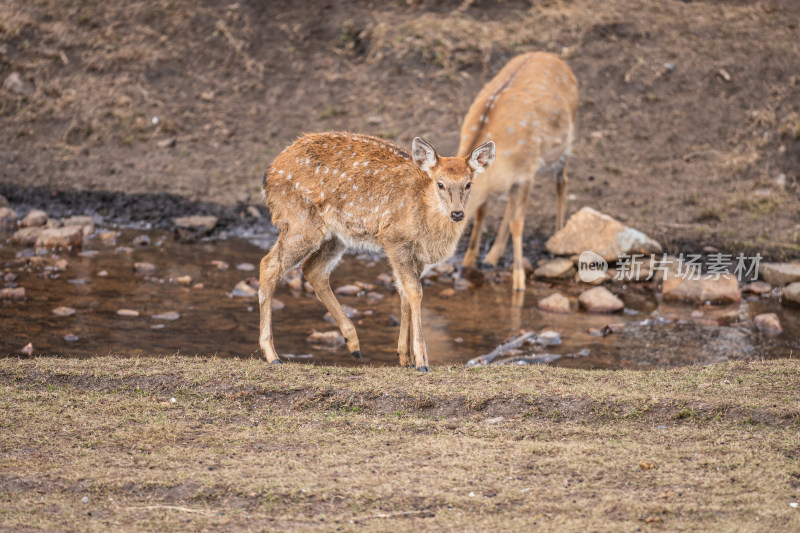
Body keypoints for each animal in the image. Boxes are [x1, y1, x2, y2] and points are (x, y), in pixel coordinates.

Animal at [260, 132, 494, 370]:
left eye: (468, 184)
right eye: (440, 184)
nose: (457, 213)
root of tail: (270, 173)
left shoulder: (415, 254)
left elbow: (404, 293)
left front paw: (405, 357)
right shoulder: (393, 238)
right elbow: (414, 292)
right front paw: (421, 361)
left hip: (336, 235)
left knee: (313, 269)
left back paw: (354, 345)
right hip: (299, 221)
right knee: (269, 265)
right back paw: (273, 355)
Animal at [460, 52, 580, 290]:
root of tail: (555, 57)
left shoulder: (526, 172)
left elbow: (518, 224)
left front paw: (519, 282)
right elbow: (482, 212)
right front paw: (468, 261)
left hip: (563, 145)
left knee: (562, 182)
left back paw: (558, 237)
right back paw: (491, 257)